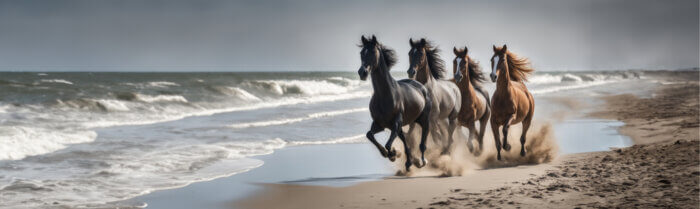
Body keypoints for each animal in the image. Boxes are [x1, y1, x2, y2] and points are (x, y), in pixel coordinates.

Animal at [360, 34, 432, 171]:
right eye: (361, 52)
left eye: (372, 52)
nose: (362, 72)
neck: (385, 95)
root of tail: (421, 86)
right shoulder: (380, 124)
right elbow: (369, 135)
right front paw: (390, 154)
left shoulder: (396, 123)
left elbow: (388, 144)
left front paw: (393, 154)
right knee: (405, 140)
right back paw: (409, 162)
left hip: (424, 119)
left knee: (423, 141)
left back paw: (422, 161)